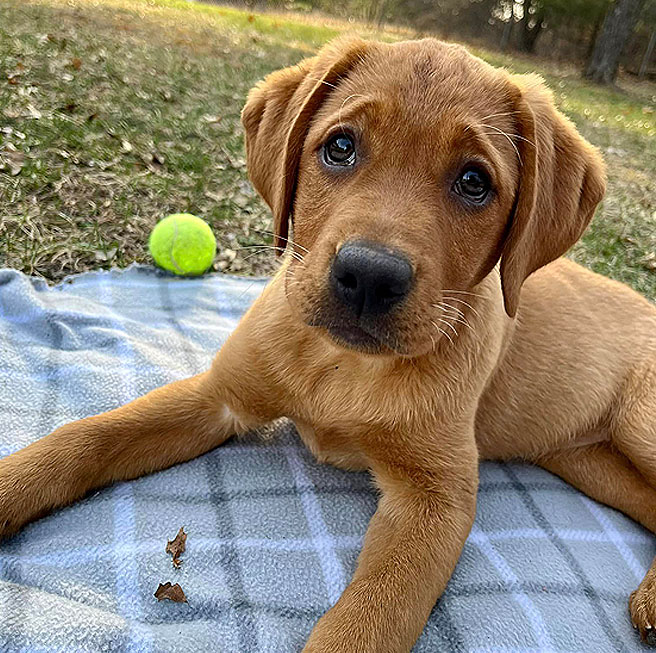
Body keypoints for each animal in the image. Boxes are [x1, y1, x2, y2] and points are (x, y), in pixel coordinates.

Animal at [1, 38, 656, 648]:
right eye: (340, 148)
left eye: (474, 182)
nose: (369, 275)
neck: (341, 365)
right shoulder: (220, 396)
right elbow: (87, 436)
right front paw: (14, 483)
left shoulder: (434, 498)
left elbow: (370, 618)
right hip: (589, 461)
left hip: (637, 423)